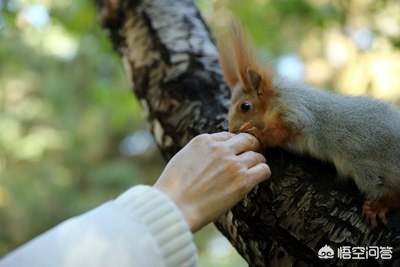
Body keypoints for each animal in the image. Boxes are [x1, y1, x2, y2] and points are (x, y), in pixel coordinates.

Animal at [219, 23, 400, 228]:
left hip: (367, 167)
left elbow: (283, 131)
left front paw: (256, 131)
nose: (232, 130)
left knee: (392, 192)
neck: (273, 101)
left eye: (245, 106)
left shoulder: (295, 110)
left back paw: (380, 205)